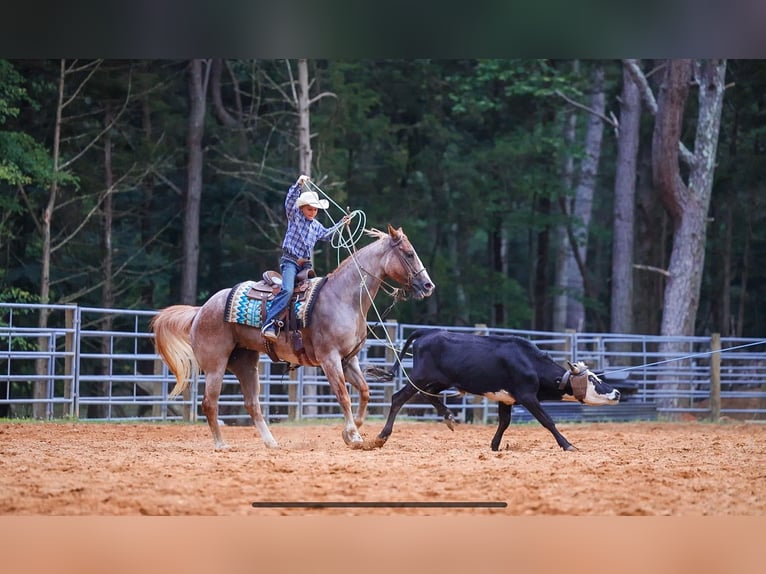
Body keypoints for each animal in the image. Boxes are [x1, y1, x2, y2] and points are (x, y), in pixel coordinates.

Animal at [150, 224, 435, 450]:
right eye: (409, 253)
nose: (428, 285)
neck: (344, 297)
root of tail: (201, 310)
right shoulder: (329, 359)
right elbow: (343, 395)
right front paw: (353, 435)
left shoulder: (349, 359)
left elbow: (364, 392)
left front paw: (352, 429)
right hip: (215, 364)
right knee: (210, 402)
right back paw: (221, 444)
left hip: (245, 362)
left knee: (252, 403)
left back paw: (271, 442)